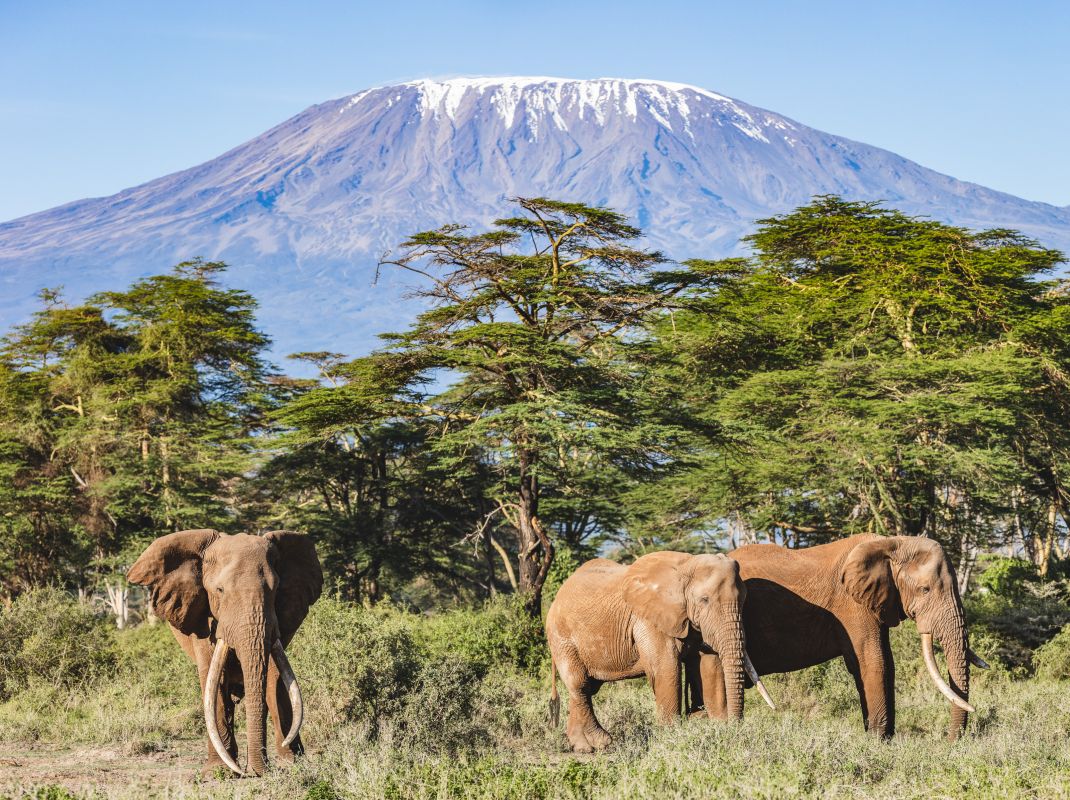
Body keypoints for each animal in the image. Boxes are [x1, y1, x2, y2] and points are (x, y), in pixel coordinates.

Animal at [124, 528, 316, 778]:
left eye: (274, 590)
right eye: (220, 590)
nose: (255, 772)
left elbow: (275, 677)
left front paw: (291, 765)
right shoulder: (201, 617)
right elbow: (213, 678)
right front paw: (219, 772)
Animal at [547, 551, 774, 752]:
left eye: (743, 601)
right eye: (704, 600)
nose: (735, 727)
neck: (686, 565)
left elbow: (711, 667)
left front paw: (719, 729)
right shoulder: (648, 620)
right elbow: (666, 669)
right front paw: (672, 739)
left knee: (586, 688)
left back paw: (582, 747)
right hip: (561, 638)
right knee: (580, 684)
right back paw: (600, 744)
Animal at [693, 534, 984, 740]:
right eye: (925, 590)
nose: (950, 741)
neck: (891, 543)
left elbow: (887, 664)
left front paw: (886, 738)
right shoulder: (851, 605)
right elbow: (872, 662)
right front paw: (877, 740)